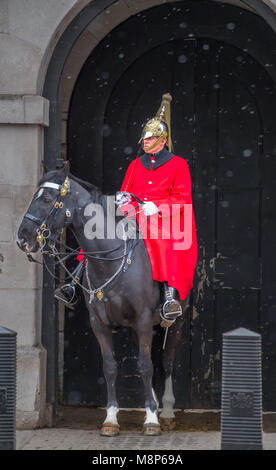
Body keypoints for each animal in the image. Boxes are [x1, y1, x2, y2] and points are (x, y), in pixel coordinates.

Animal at [17, 167, 190, 436]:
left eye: (46, 199)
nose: (23, 238)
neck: (110, 258)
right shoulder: (99, 323)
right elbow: (111, 366)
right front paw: (111, 418)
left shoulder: (142, 319)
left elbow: (146, 365)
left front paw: (152, 419)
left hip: (176, 323)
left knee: (167, 361)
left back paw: (168, 412)